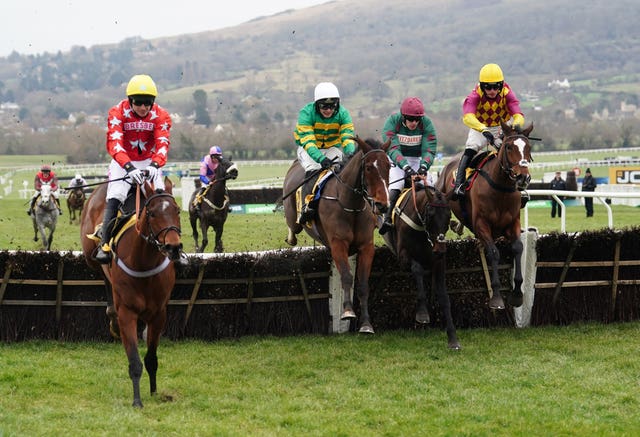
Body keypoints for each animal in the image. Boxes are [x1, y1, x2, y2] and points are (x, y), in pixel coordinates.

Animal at [79, 177, 184, 406]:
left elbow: (151, 358)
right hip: (90, 256)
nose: (173, 247)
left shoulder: (159, 314)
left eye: (177, 210)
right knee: (103, 277)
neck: (144, 262)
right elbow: (135, 361)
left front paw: (154, 392)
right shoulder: (127, 312)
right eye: (152, 213)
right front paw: (137, 400)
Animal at [284, 138, 390, 332]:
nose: (382, 204)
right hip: (292, 217)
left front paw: (366, 324)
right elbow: (347, 276)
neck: (350, 204)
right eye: (368, 167)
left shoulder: (366, 246)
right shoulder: (338, 244)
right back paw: (291, 236)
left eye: (389, 165)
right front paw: (347, 311)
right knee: (292, 228)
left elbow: (363, 284)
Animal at [380, 175, 460, 350]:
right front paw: (422, 312)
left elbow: (444, 297)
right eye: (430, 215)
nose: (440, 249)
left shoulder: (438, 262)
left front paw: (452, 338)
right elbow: (417, 269)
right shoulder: (403, 257)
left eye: (448, 216)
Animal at [436, 121, 536, 308]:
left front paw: (517, 294)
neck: (500, 188)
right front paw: (496, 296)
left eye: (529, 147)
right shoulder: (482, 225)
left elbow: (518, 248)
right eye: (509, 147)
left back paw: (458, 226)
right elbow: (494, 253)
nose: (523, 178)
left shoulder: (513, 223)